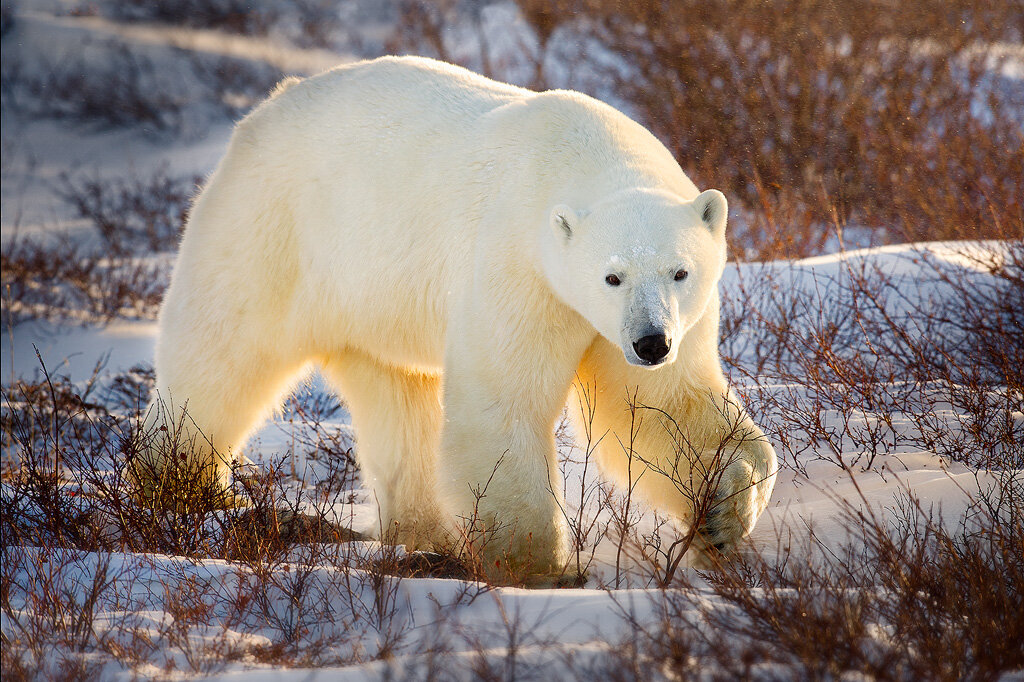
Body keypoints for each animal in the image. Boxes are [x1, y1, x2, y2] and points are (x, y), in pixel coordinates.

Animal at [136, 55, 774, 569]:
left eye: (680, 271)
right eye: (611, 276)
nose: (650, 342)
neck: (584, 156)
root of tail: (269, 105)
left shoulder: (661, 321)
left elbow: (662, 406)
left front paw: (722, 514)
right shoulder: (520, 267)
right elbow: (503, 405)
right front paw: (538, 566)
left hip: (375, 300)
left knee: (397, 396)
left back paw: (425, 531)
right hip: (272, 230)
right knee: (221, 356)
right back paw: (180, 490)